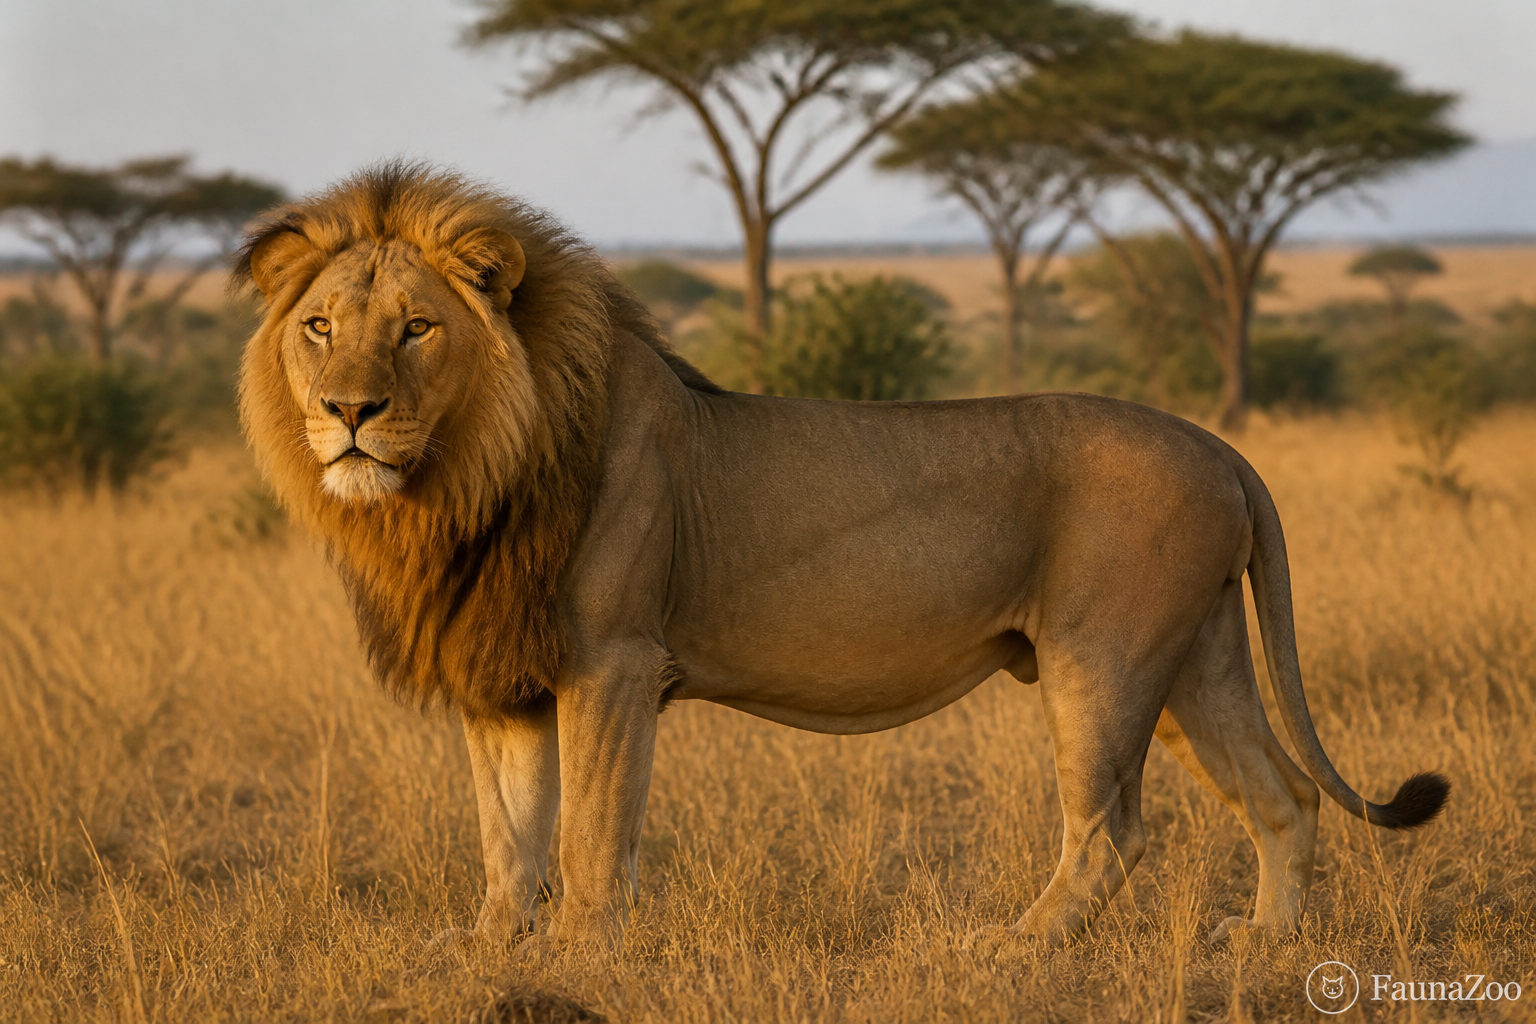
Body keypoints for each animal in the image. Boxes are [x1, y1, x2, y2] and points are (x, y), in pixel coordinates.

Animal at [235, 162, 1448, 952]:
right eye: (320, 327)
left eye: (417, 328)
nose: (349, 412)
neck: (458, 486)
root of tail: (1219, 445)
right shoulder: (502, 673)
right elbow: (507, 832)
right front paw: (490, 946)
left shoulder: (612, 663)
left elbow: (587, 831)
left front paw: (581, 953)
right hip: (1198, 655)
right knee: (1286, 796)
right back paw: (1265, 949)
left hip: (1102, 658)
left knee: (1112, 832)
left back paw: (1011, 947)